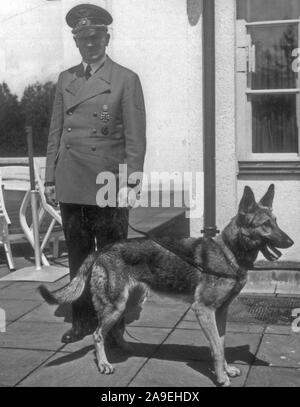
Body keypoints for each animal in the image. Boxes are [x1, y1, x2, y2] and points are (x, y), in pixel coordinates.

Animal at [38, 186, 292, 388]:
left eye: (276, 222)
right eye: (265, 224)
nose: (290, 242)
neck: (229, 251)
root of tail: (102, 250)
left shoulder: (221, 312)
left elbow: (221, 343)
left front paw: (226, 370)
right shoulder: (204, 310)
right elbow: (217, 349)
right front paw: (221, 378)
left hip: (129, 303)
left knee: (114, 329)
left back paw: (126, 347)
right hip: (115, 306)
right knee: (97, 334)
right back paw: (104, 364)